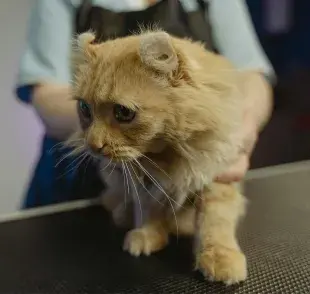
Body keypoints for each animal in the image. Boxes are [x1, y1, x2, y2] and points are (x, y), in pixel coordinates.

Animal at [69, 29, 247, 284]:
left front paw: (220, 257)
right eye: (85, 109)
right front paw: (147, 236)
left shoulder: (216, 177)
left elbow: (216, 223)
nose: (94, 145)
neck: (168, 157)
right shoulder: (145, 182)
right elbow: (148, 209)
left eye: (123, 112)